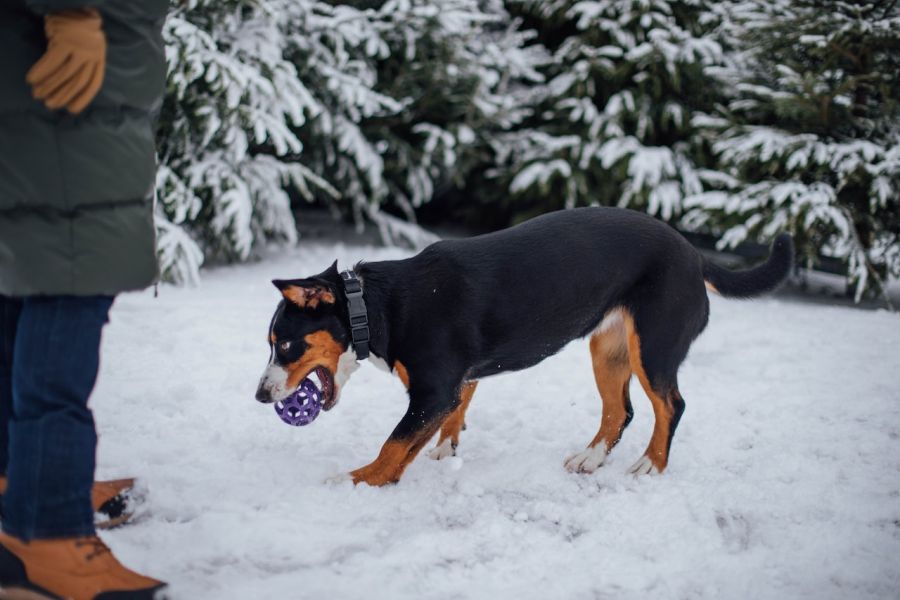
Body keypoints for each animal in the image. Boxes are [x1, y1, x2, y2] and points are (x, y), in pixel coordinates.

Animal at [251, 209, 788, 486]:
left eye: (286, 344)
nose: (260, 395)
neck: (377, 305)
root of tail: (694, 254)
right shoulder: (456, 383)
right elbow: (446, 420)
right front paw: (444, 449)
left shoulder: (432, 390)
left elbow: (394, 443)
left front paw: (359, 479)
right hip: (609, 349)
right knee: (621, 411)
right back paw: (590, 459)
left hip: (653, 347)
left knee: (670, 406)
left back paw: (650, 465)